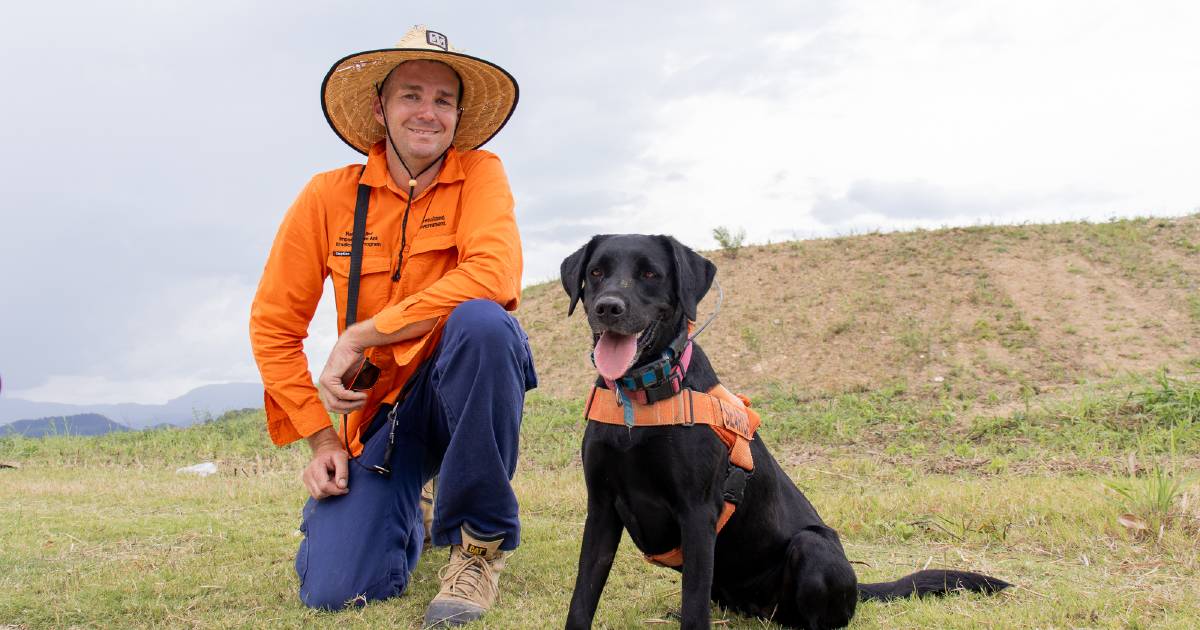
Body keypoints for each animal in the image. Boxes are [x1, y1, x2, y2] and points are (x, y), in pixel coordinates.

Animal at [556, 235, 1008, 628]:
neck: (639, 402)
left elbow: (694, 612)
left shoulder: (697, 514)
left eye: (650, 274)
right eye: (596, 272)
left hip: (813, 547)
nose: (608, 307)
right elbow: (583, 597)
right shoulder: (601, 509)